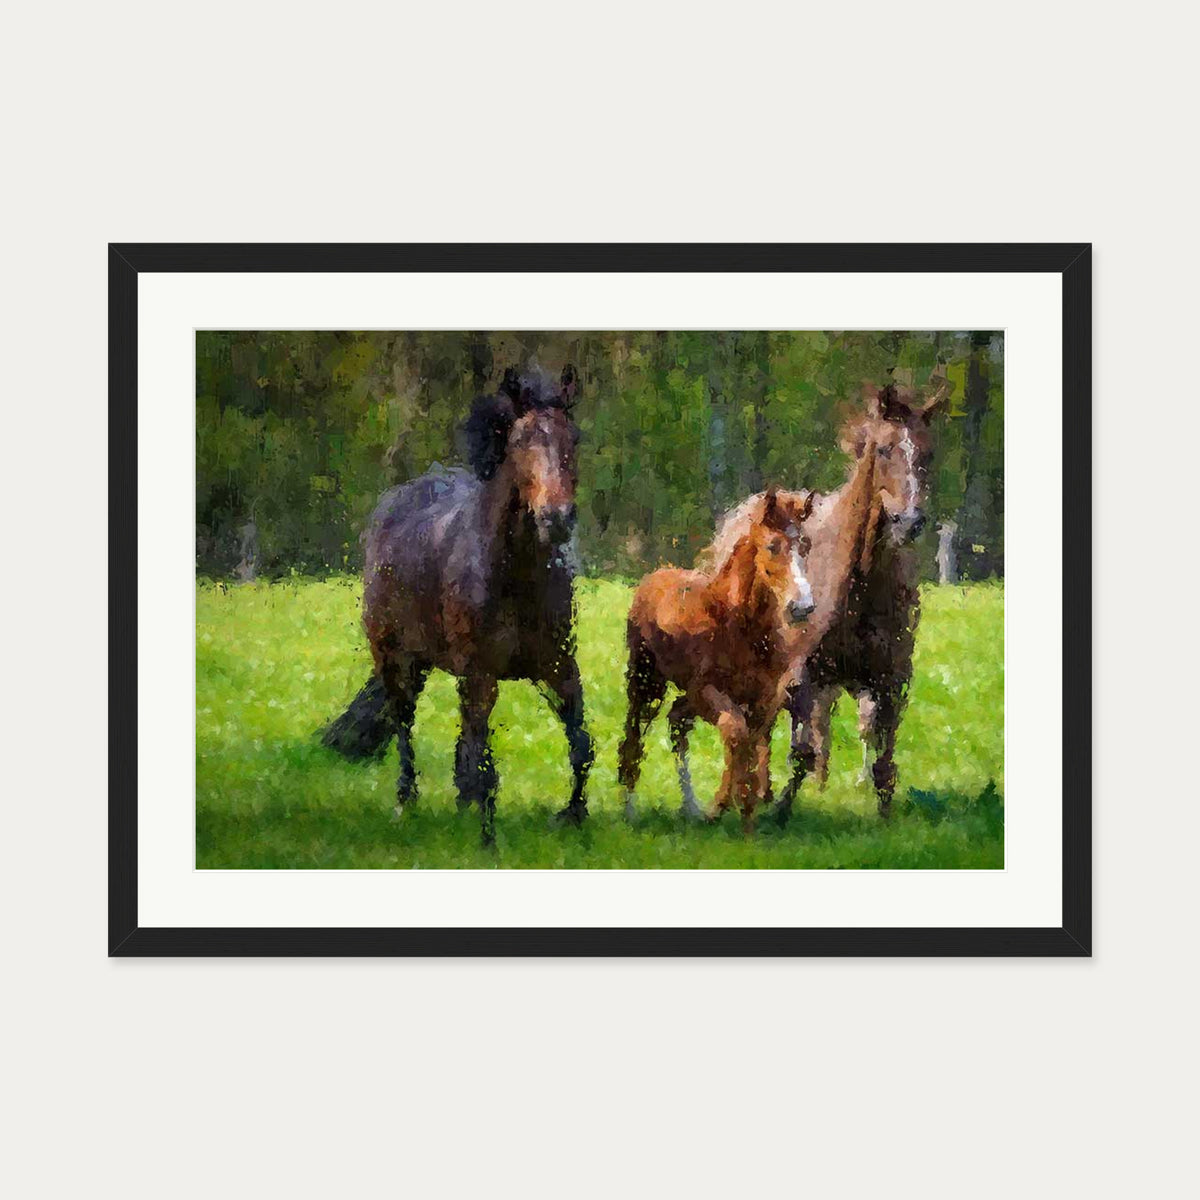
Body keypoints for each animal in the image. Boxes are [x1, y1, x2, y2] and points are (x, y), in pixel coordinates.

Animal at [321, 364, 592, 845]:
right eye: (520, 441)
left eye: (573, 438)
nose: (557, 519)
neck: (514, 577)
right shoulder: (481, 672)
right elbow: (483, 760)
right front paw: (487, 839)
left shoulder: (557, 664)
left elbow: (579, 742)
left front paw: (574, 817)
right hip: (395, 659)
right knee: (404, 723)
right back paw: (406, 801)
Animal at [617, 488, 817, 833]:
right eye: (772, 546)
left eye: (806, 545)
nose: (802, 607)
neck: (739, 625)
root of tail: (655, 576)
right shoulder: (705, 691)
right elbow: (735, 732)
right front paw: (724, 805)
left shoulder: (765, 698)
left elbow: (751, 743)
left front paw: (746, 812)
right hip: (646, 683)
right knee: (635, 735)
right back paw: (631, 811)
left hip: (682, 696)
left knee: (677, 721)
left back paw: (691, 807)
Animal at [702, 369, 951, 822]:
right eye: (885, 448)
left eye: (928, 451)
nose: (909, 521)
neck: (861, 586)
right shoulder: (803, 675)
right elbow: (800, 749)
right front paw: (780, 810)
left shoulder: (890, 678)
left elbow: (882, 757)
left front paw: (883, 817)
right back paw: (765, 790)